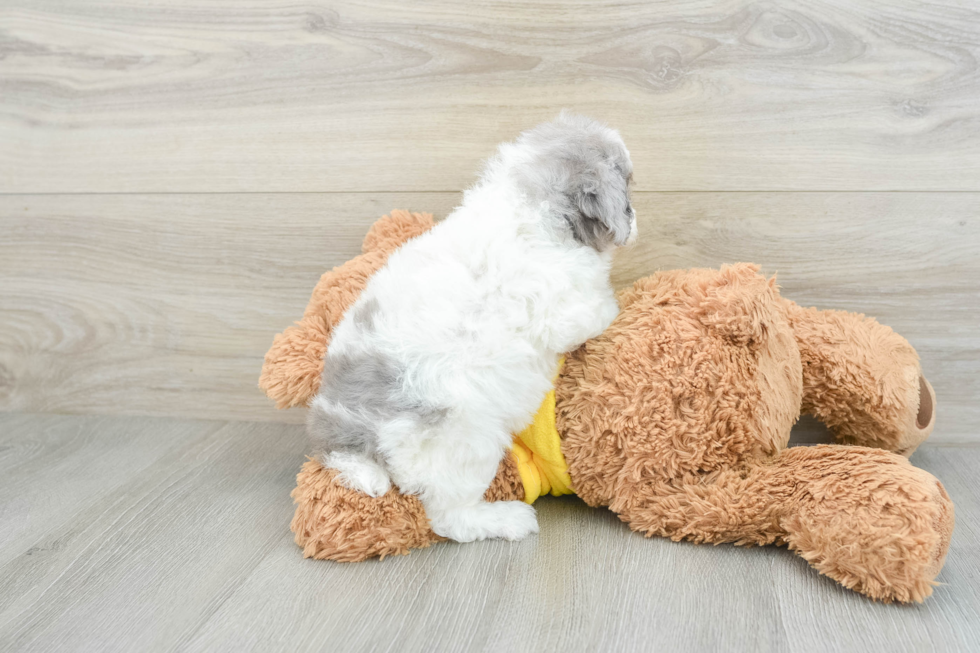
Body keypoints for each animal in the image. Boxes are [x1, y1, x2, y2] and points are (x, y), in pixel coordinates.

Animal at [310, 114, 640, 544]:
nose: (635, 219)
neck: (530, 206)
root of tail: (352, 435)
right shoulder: (567, 308)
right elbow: (600, 308)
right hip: (468, 444)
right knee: (450, 519)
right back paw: (506, 519)